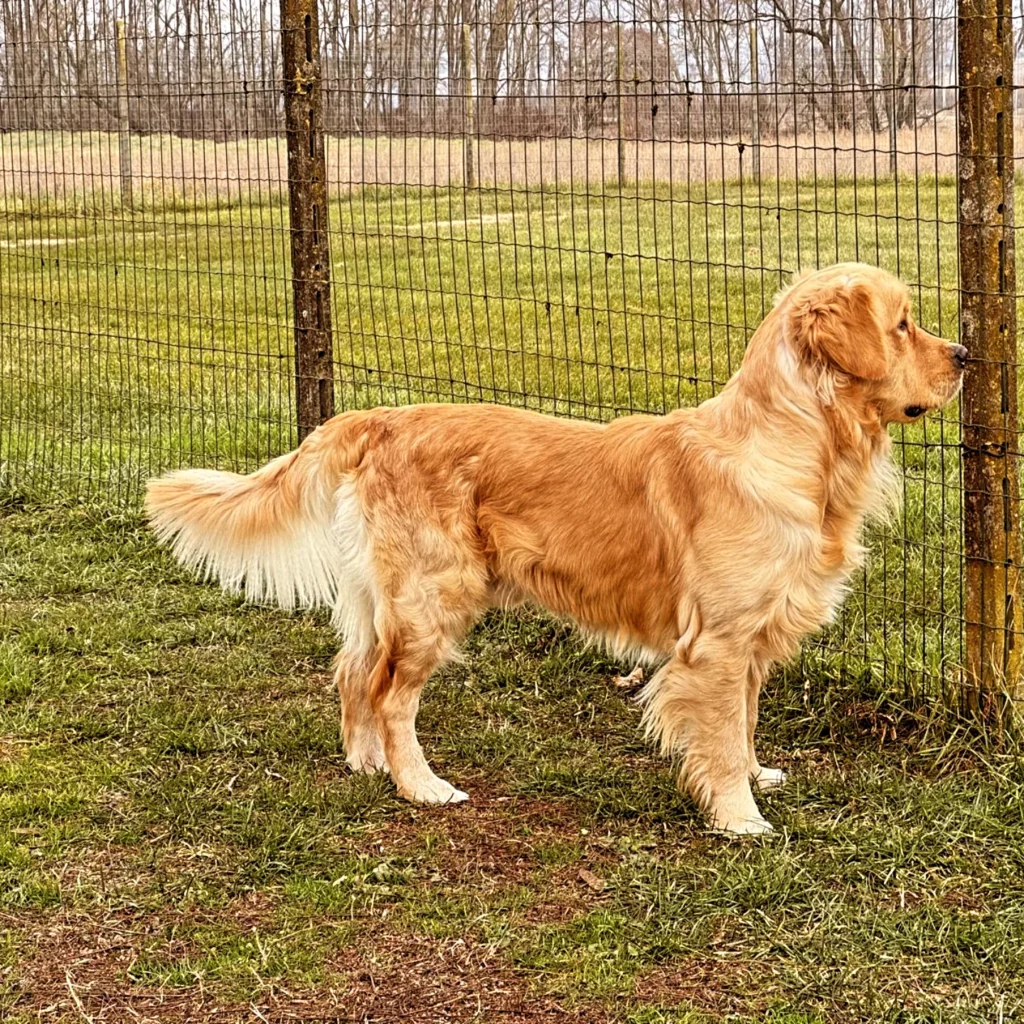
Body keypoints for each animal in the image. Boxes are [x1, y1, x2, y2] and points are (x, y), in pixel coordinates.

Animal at [146, 262, 966, 831]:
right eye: (902, 324)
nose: (963, 355)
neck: (802, 447)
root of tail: (378, 418)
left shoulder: (754, 639)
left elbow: (745, 720)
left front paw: (760, 776)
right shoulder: (718, 643)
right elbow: (722, 735)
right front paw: (741, 817)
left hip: (383, 598)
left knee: (352, 673)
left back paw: (365, 764)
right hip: (436, 597)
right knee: (389, 695)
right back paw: (420, 785)